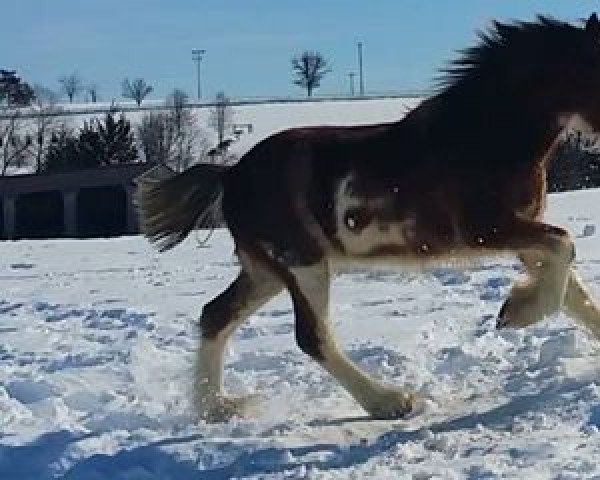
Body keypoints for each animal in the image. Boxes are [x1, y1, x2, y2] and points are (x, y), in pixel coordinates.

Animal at [137, 13, 600, 422]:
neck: (487, 135)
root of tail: (230, 175)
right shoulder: (486, 229)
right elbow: (564, 245)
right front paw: (517, 313)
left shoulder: (521, 234)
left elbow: (572, 287)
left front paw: (525, 308)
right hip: (303, 264)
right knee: (312, 337)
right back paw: (390, 402)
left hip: (265, 270)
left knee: (215, 315)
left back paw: (216, 409)